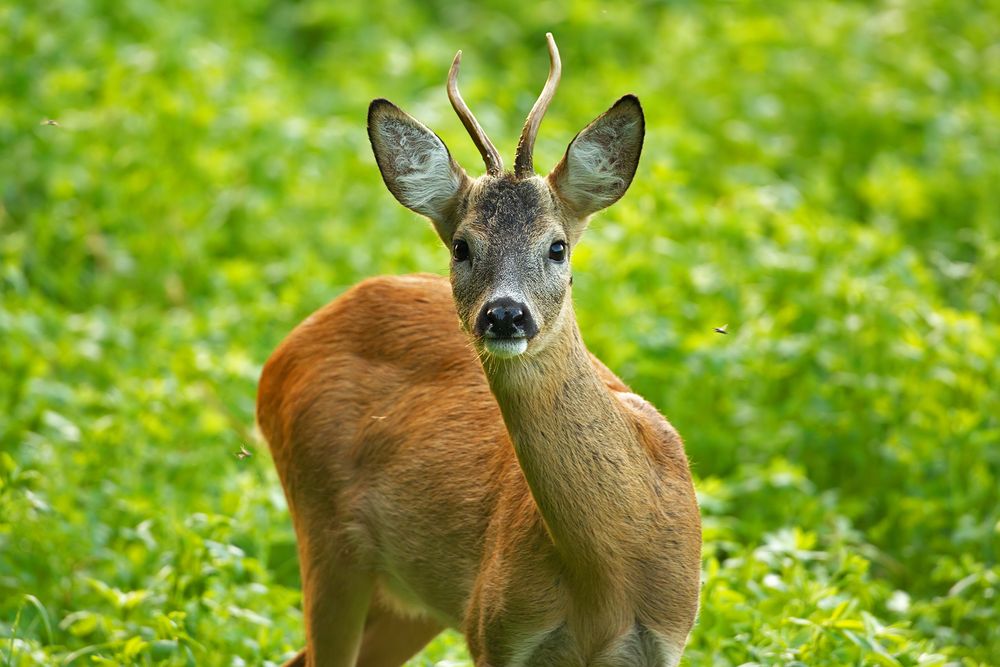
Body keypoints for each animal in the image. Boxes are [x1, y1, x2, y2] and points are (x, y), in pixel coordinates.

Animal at [254, 34, 700, 667]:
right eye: (462, 246)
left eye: (557, 246)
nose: (505, 313)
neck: (607, 579)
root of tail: (284, 351)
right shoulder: (496, 629)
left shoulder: (666, 637)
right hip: (325, 534)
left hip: (408, 601)